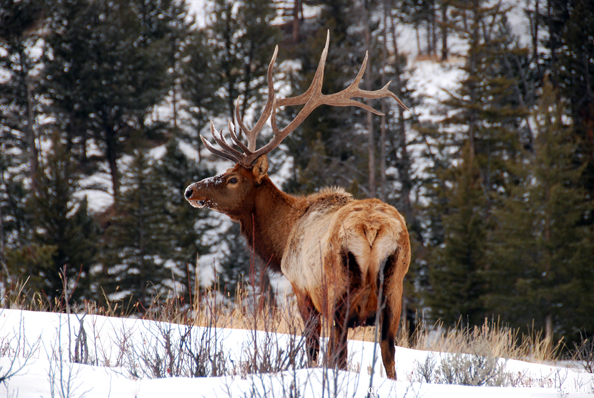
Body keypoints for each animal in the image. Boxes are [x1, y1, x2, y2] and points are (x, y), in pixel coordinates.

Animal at [183, 32, 410, 378]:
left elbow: (312, 349)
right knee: (388, 356)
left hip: (337, 292)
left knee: (337, 353)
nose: (190, 190)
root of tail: (372, 229)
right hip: (394, 292)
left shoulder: (302, 291)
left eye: (233, 178)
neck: (281, 240)